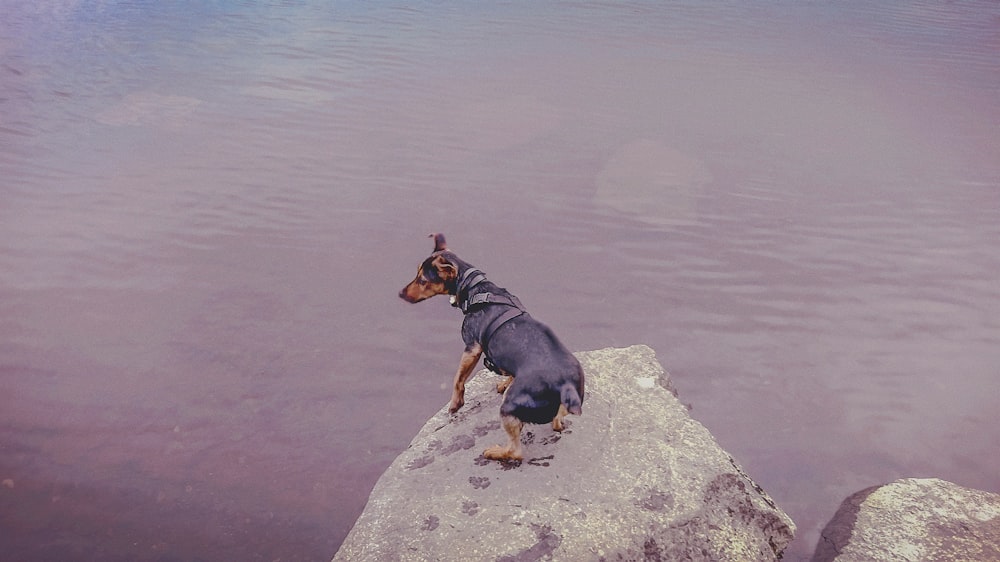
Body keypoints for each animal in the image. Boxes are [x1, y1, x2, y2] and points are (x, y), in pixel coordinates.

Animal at [398, 232, 584, 460]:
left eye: (423, 280)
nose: (400, 293)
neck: (474, 289)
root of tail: (565, 385)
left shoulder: (472, 348)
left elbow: (457, 380)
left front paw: (455, 404)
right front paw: (505, 381)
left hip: (508, 407)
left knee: (515, 451)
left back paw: (495, 452)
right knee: (557, 423)